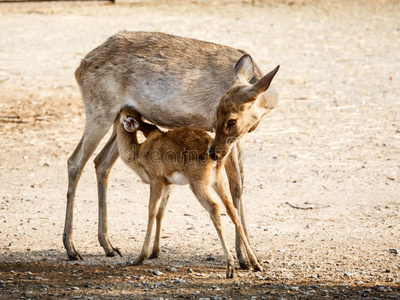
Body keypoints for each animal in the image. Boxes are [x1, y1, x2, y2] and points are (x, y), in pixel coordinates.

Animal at [113, 106, 262, 278]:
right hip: (217, 181)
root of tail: (213, 153)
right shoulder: (168, 185)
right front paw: (154, 252)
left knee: (215, 208)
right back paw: (255, 264)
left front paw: (139, 257)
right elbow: (160, 213)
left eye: (119, 116)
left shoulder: (156, 181)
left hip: (198, 185)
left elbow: (151, 211)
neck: (138, 152)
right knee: (231, 209)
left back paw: (230, 266)